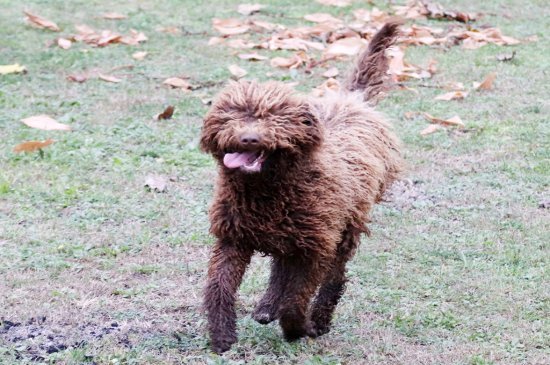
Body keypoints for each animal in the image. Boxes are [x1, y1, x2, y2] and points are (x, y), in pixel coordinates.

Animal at [201, 21, 404, 352]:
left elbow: (296, 298)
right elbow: (219, 286)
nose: (248, 138)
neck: (267, 191)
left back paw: (318, 320)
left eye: (275, 118)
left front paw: (298, 329)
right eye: (235, 114)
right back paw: (267, 306)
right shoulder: (234, 238)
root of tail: (352, 101)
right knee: (281, 268)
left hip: (344, 231)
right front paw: (222, 336)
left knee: (333, 279)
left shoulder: (315, 248)